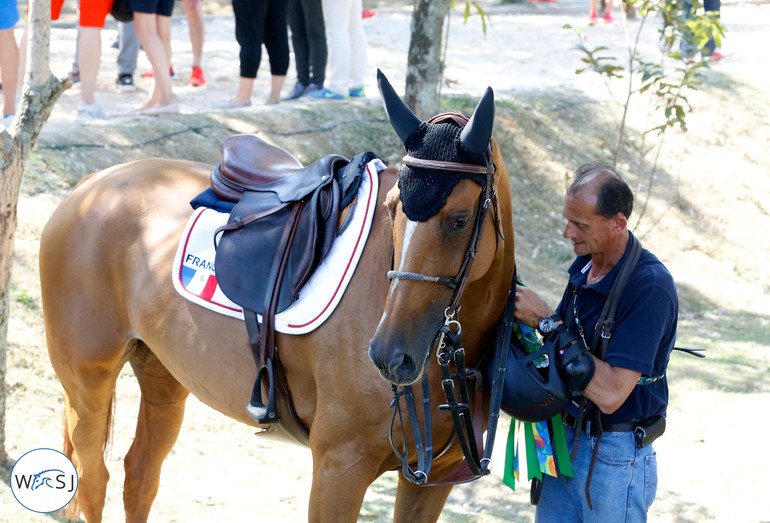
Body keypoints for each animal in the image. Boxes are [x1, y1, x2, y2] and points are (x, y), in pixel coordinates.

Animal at [39, 71, 512, 520]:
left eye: (459, 219)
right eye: (394, 208)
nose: (389, 355)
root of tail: (92, 183)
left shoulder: (430, 484)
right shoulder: (339, 469)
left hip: (163, 374)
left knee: (139, 475)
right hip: (88, 379)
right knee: (94, 479)